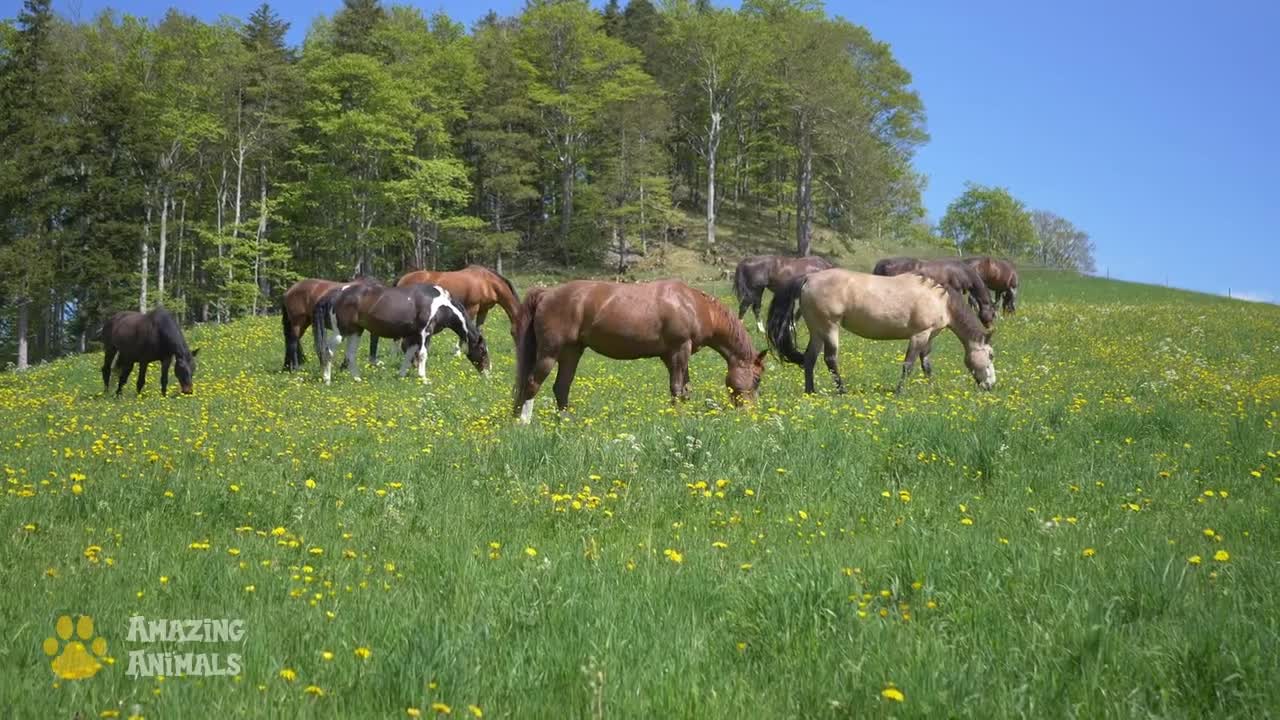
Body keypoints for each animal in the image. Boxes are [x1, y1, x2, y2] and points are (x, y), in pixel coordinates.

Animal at [512, 275, 768, 420]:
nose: (750, 414)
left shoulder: (675, 355)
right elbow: (677, 389)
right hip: (549, 353)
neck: (693, 305)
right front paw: (678, 420)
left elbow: (685, 390)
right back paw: (523, 423)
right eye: (757, 379)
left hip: (571, 352)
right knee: (532, 384)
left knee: (561, 388)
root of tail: (547, 293)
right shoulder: (679, 351)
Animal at [762, 267, 993, 392]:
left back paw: (811, 391)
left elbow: (926, 365)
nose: (991, 385)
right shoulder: (919, 335)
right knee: (830, 359)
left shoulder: (928, 337)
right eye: (991, 355)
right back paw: (842, 391)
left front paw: (932, 389)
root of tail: (809, 278)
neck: (942, 301)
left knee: (810, 359)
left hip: (817, 330)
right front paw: (899, 392)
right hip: (829, 327)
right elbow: (908, 365)